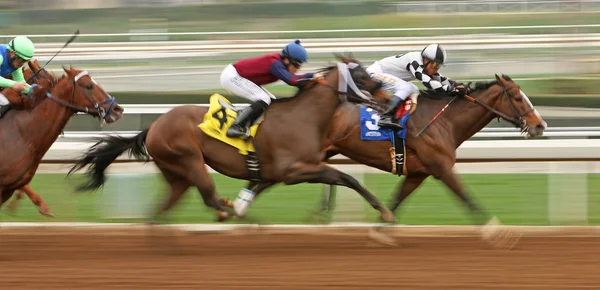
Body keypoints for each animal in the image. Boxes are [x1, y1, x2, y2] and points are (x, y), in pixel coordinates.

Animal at [68, 55, 398, 224]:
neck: (305, 116)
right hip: (189, 159)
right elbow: (346, 177)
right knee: (208, 195)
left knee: (162, 210)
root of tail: (153, 126)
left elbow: (341, 178)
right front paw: (384, 211)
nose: (388, 98)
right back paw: (230, 212)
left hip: (176, 175)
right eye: (364, 76)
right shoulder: (294, 170)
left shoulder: (281, 171)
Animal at [241, 73, 548, 248]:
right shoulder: (441, 167)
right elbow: (467, 197)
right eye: (518, 97)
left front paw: (381, 231)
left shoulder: (418, 173)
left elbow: (398, 199)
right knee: (270, 179)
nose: (540, 125)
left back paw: (243, 212)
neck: (444, 120)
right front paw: (498, 232)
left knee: (266, 181)